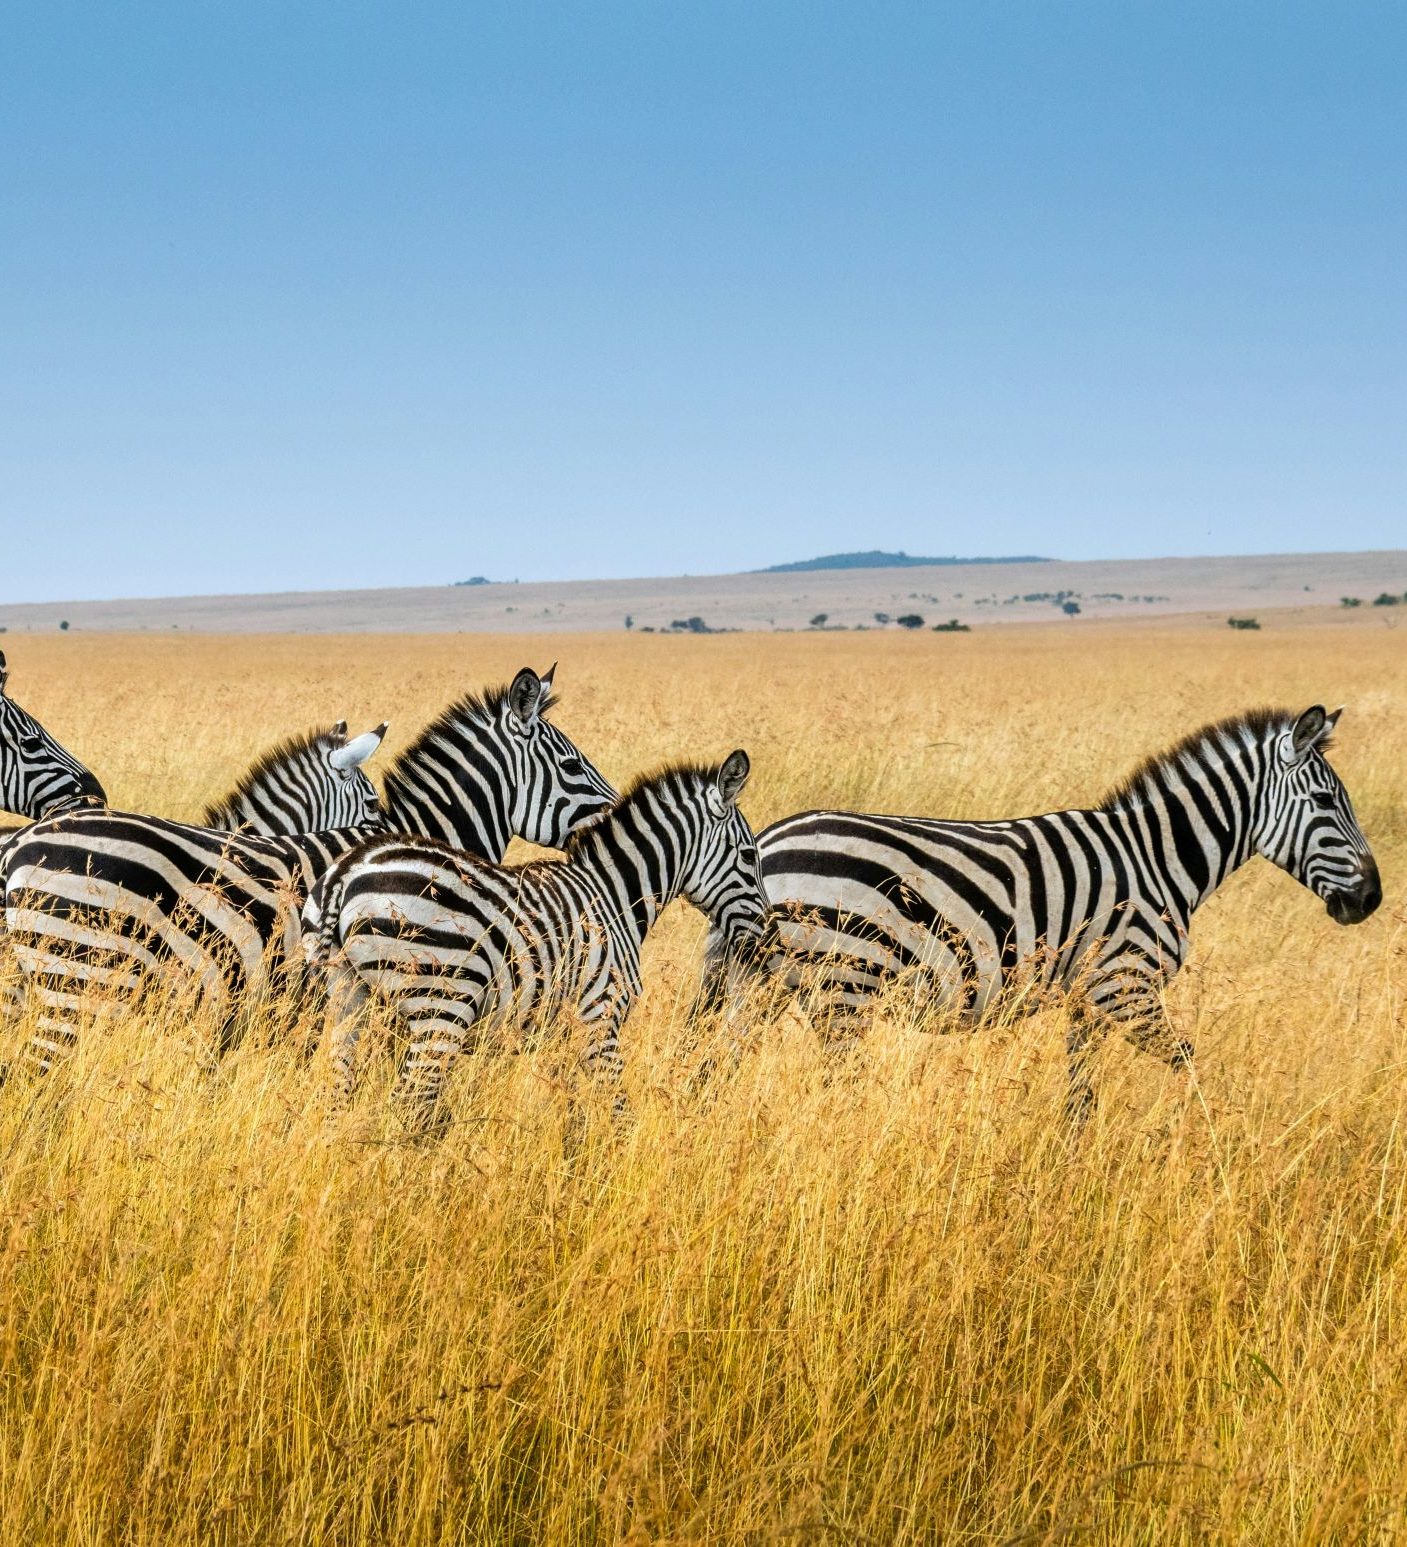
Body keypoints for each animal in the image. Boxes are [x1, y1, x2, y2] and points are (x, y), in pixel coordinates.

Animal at [302, 751, 764, 1134]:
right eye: (748, 855)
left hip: (348, 999)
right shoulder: (600, 1018)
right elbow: (617, 1111)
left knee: (338, 1096)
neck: (614, 895)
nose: (765, 936)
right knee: (408, 1102)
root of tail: (348, 870)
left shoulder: (564, 1032)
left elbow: (574, 1112)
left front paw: (572, 1167)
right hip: (440, 1006)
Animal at [699, 706, 1381, 1116]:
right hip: (844, 986)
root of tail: (767, 843)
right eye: (1327, 802)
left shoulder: (1089, 997)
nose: (1371, 900)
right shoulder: (1125, 985)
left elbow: (1081, 1095)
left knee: (715, 1069)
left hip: (759, 987)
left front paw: (1072, 1168)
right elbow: (1188, 1063)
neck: (1158, 858)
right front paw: (1208, 1146)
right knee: (832, 1088)